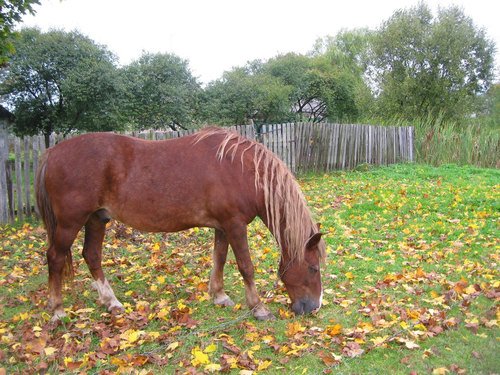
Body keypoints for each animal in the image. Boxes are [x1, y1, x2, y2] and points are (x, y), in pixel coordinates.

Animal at [34, 128, 324, 322]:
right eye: (313, 268)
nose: (314, 307)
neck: (241, 169)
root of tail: (51, 153)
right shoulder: (235, 225)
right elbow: (245, 266)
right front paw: (259, 308)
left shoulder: (223, 226)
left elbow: (219, 259)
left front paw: (219, 296)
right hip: (70, 223)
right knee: (55, 258)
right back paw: (57, 310)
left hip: (97, 219)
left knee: (91, 255)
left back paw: (111, 302)